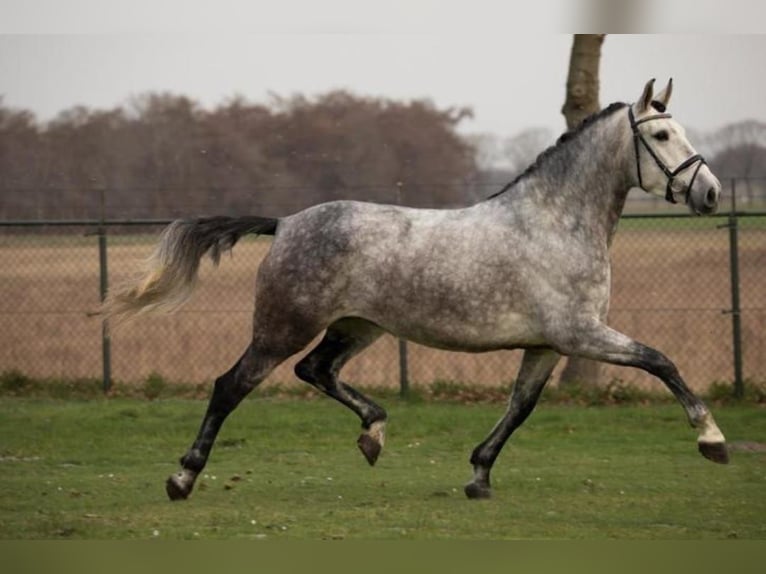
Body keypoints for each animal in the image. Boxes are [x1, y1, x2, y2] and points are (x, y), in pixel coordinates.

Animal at [106, 79, 728, 501]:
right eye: (662, 134)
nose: (711, 194)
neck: (555, 223)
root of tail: (285, 224)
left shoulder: (547, 345)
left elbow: (521, 406)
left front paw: (479, 474)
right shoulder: (581, 335)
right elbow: (661, 361)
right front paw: (712, 439)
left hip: (356, 328)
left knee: (315, 371)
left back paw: (373, 435)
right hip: (283, 328)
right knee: (231, 385)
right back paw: (182, 476)